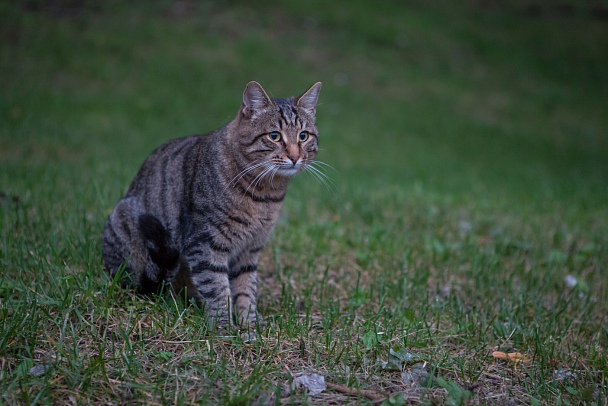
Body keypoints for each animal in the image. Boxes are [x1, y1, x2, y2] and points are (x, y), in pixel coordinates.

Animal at [103, 81, 324, 326]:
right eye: (275, 136)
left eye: (303, 136)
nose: (295, 157)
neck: (265, 195)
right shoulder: (205, 244)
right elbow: (217, 289)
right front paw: (224, 326)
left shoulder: (250, 249)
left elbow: (246, 288)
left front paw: (250, 323)